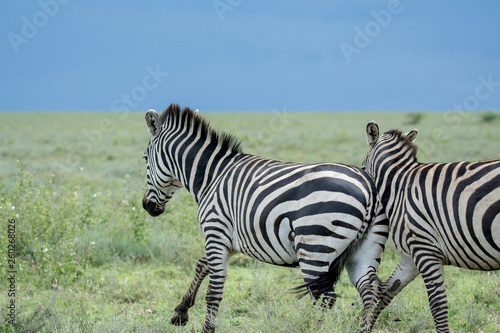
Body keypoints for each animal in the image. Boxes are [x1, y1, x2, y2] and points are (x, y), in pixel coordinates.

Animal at [143, 102, 388, 330]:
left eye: (145, 158)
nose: (147, 206)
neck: (212, 176)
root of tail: (368, 186)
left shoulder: (216, 231)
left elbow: (214, 292)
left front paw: (202, 325)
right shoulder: (232, 240)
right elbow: (202, 264)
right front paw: (181, 310)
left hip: (314, 247)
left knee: (325, 298)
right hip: (365, 249)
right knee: (369, 290)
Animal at [362, 120, 500, 332]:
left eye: (362, 167)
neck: (399, 187)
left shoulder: (425, 249)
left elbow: (437, 304)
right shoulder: (410, 255)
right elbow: (387, 290)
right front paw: (364, 327)